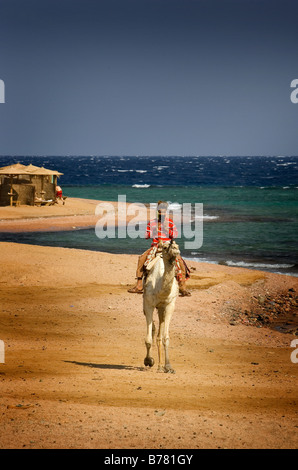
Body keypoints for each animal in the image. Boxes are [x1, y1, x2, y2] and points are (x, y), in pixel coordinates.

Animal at [143, 241, 179, 372]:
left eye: (177, 246)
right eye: (165, 247)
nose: (174, 249)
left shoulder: (169, 305)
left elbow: (165, 338)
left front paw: (168, 366)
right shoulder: (148, 304)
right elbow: (148, 339)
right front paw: (148, 361)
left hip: (162, 309)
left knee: (159, 332)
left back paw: (160, 366)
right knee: (153, 329)